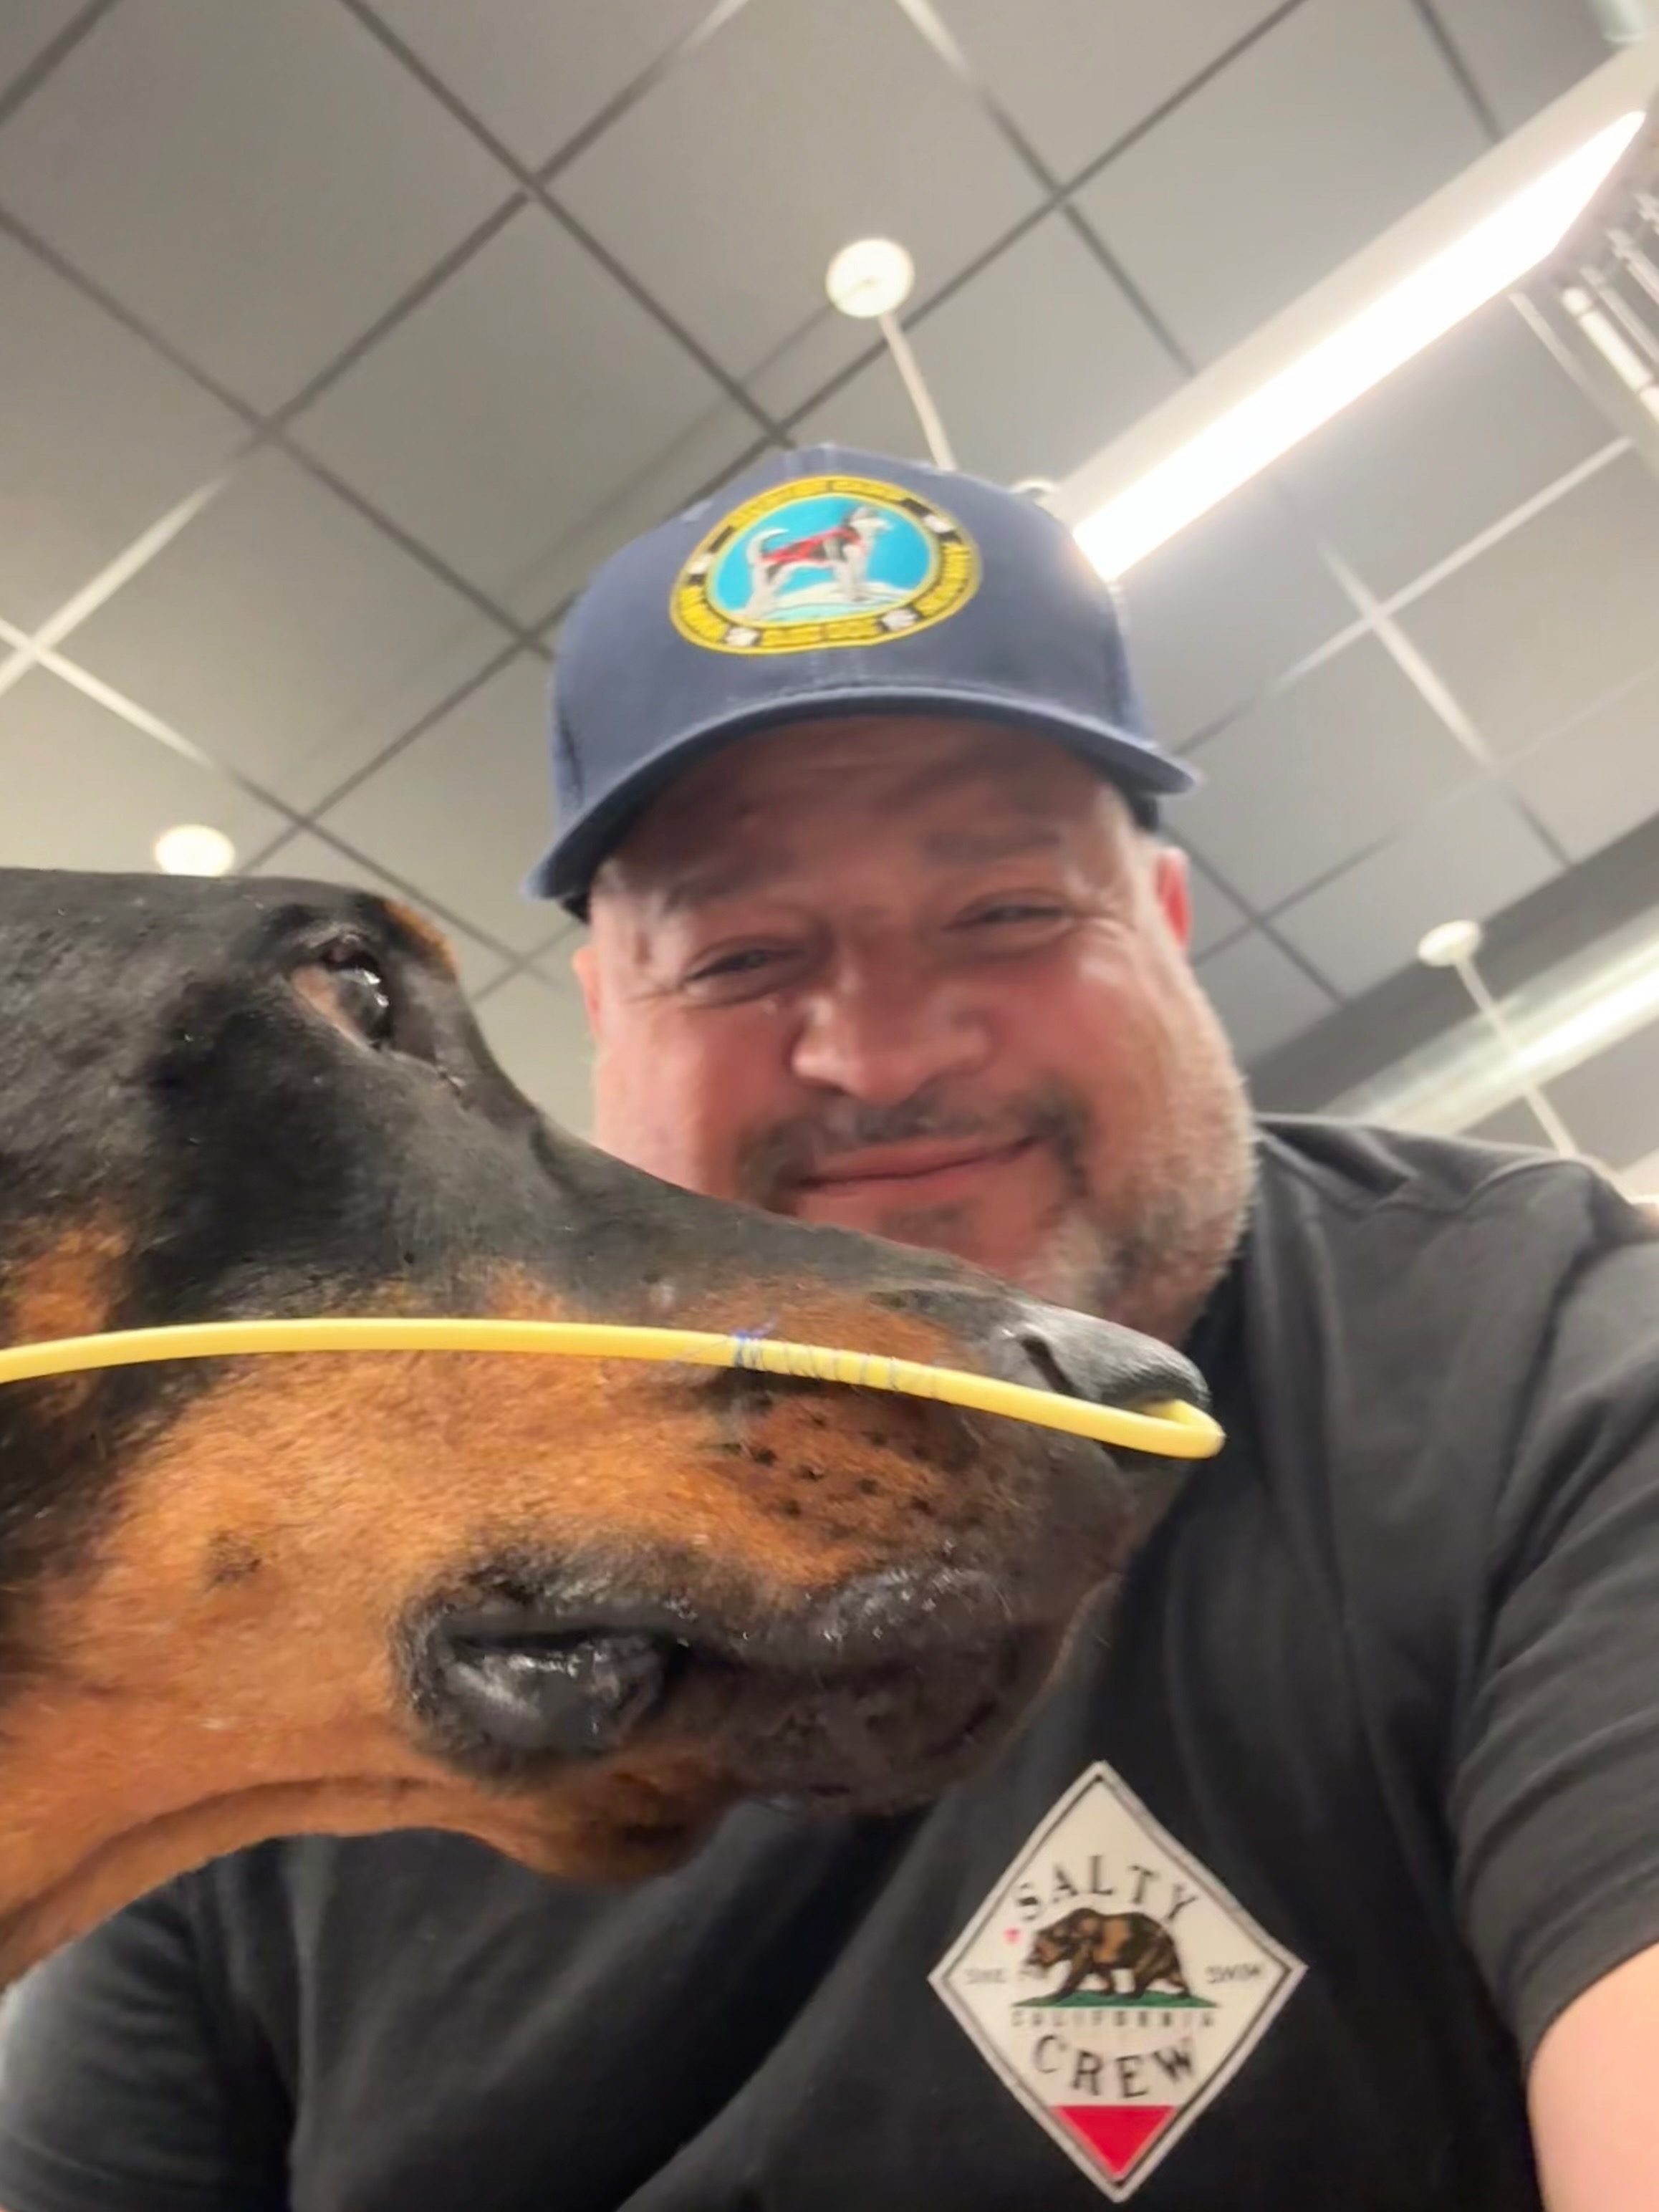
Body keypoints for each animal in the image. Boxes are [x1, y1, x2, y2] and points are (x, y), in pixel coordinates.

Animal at [742, 504, 891, 618]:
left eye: (878, 515)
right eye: (869, 516)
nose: (887, 526)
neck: (854, 535)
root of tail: (766, 555)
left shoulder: (859, 565)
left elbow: (861, 584)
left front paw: (864, 598)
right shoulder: (844, 567)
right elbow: (850, 586)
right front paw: (854, 600)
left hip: (779, 581)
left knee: (765, 599)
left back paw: (766, 613)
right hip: (770, 582)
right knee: (755, 600)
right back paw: (753, 617)